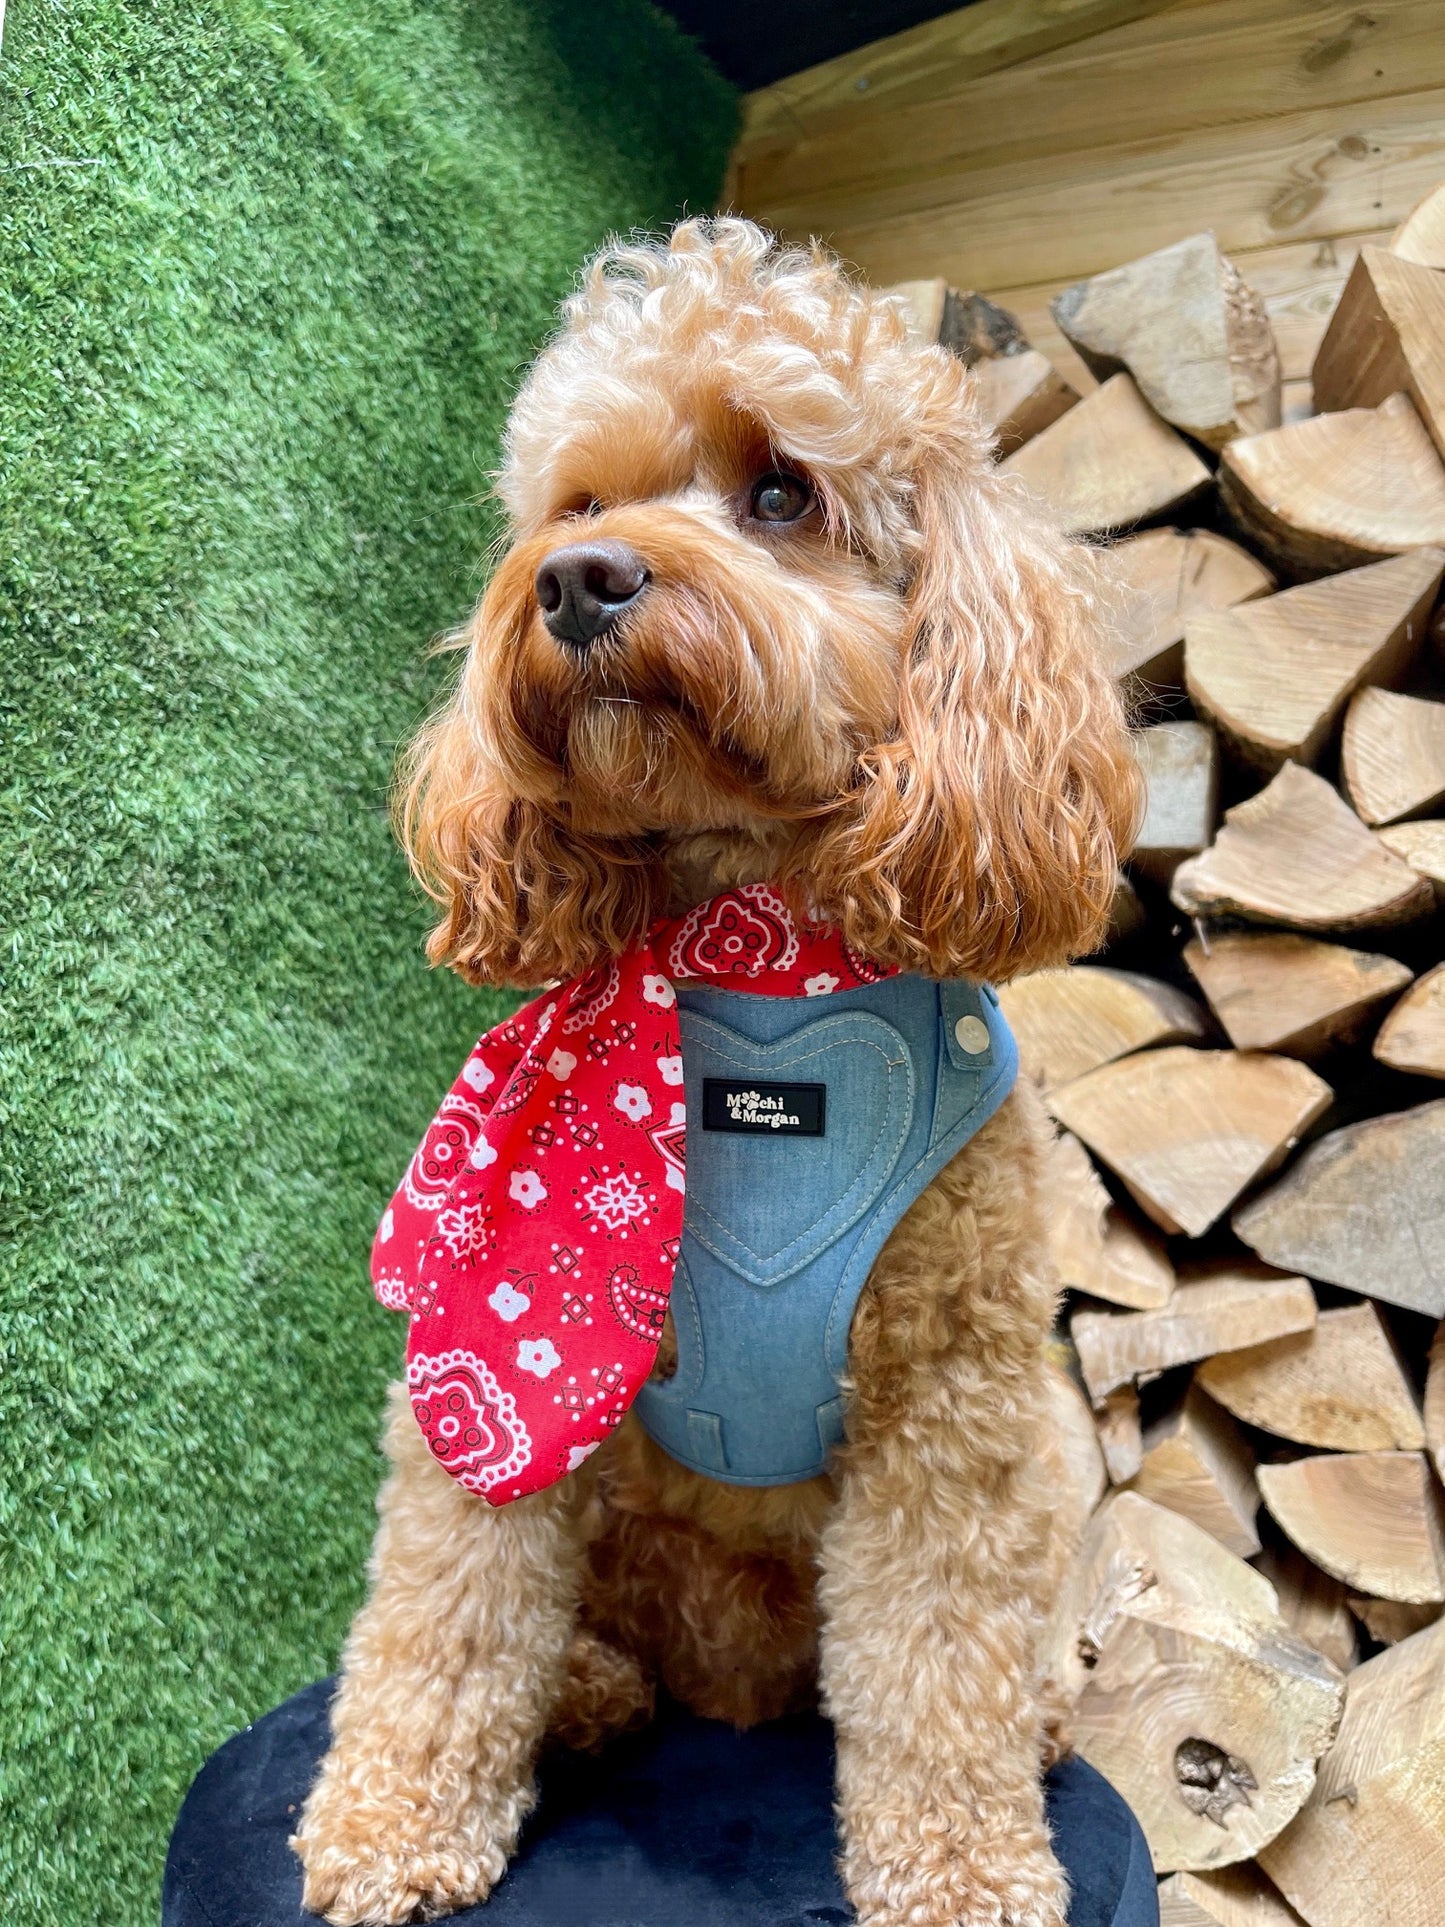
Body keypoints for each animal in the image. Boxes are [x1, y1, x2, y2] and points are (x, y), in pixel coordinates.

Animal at [296, 218, 1140, 1927]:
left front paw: (962, 1870)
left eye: (779, 493)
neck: (744, 970)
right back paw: (590, 1689)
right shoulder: (501, 1348)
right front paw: (389, 1822)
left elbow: (935, 1658)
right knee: (588, 1624)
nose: (578, 579)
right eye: (577, 504)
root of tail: (731, 1675)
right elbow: (448, 1601)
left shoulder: (949, 1403)